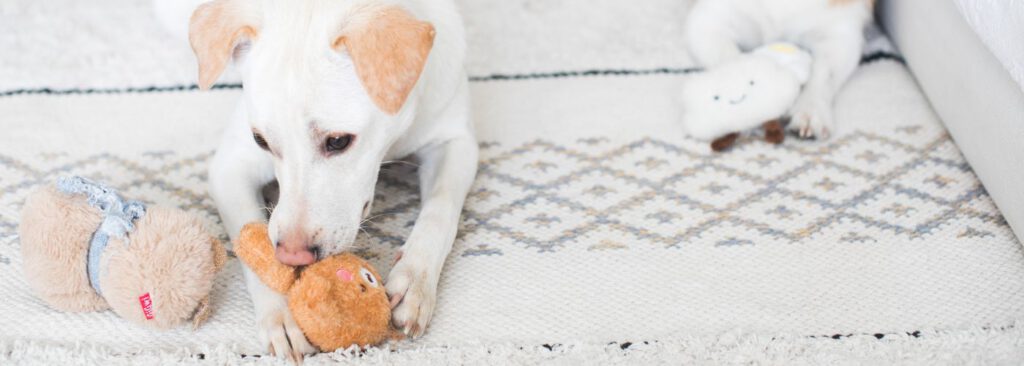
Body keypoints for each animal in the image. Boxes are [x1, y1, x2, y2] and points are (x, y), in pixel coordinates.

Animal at [162, 0, 475, 358]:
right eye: (261, 141)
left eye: (338, 141)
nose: (293, 255)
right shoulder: (229, 167)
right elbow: (251, 244)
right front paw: (281, 313)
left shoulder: (456, 141)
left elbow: (440, 211)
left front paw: (414, 280)